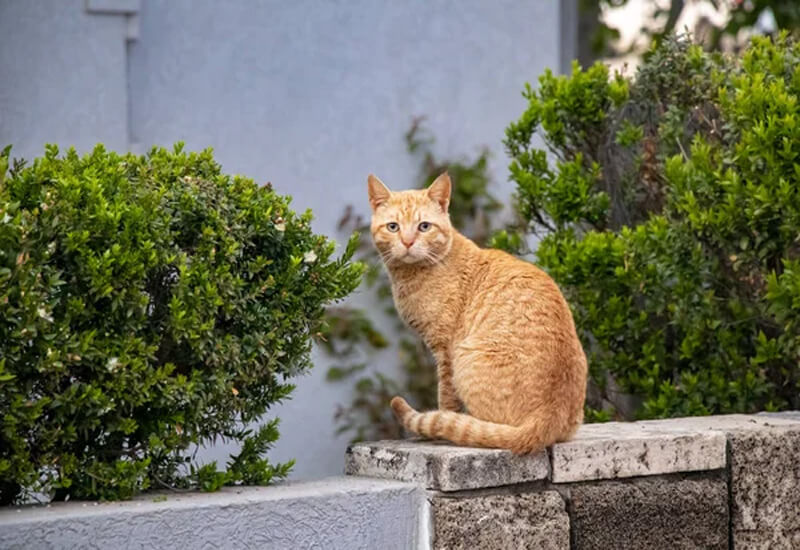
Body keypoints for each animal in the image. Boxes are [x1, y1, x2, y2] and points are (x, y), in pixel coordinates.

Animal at [368, 174, 588, 458]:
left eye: (424, 226)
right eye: (393, 227)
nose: (407, 242)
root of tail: (548, 418)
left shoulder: (445, 351)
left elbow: (446, 400)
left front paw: (439, 428)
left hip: (466, 355)